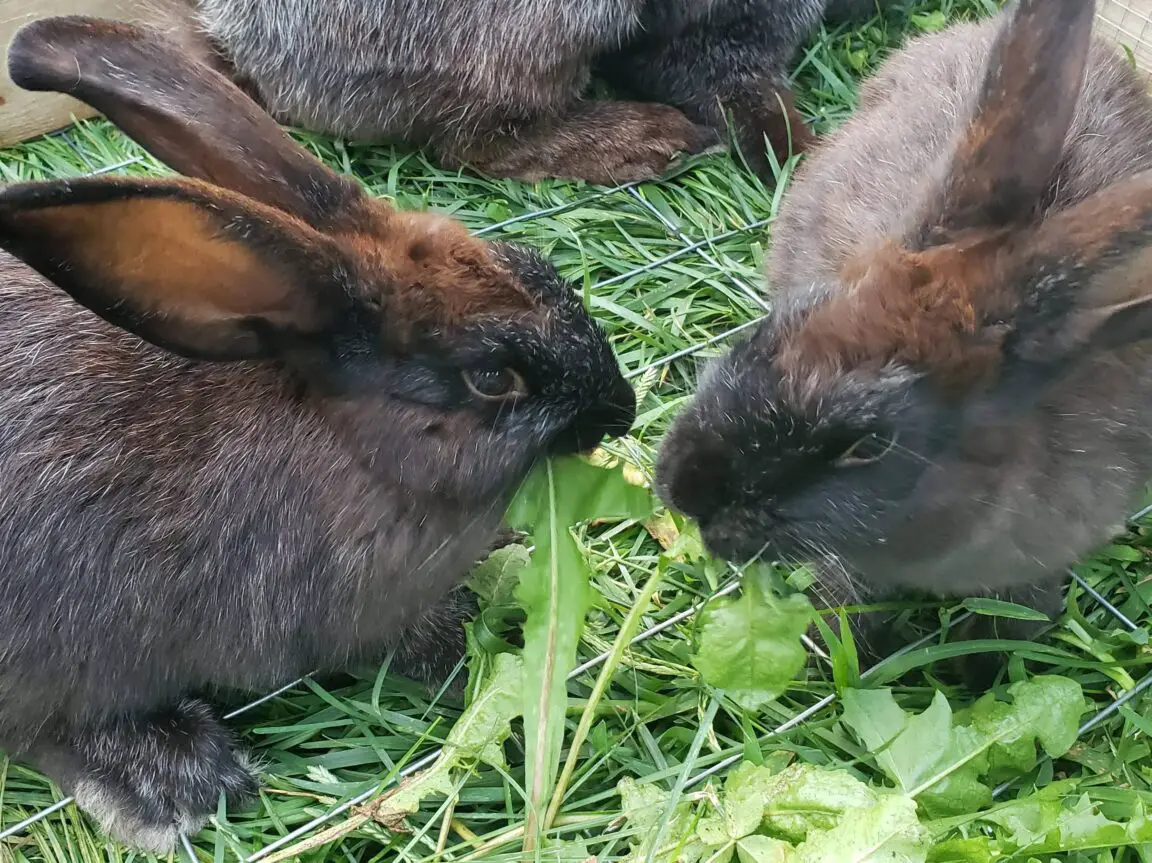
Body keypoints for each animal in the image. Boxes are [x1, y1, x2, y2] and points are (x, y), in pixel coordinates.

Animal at [0, 14, 635, 853]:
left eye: (535, 265)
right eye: (493, 376)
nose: (623, 408)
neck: (352, 442)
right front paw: (470, 648)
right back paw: (175, 780)